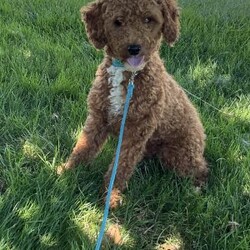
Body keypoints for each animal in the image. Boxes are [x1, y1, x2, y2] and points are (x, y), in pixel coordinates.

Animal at [57, 0, 208, 208]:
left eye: (148, 19)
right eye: (118, 21)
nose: (134, 48)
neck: (129, 75)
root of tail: (202, 135)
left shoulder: (135, 132)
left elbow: (121, 165)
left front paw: (111, 196)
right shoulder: (97, 118)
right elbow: (83, 147)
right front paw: (68, 171)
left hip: (179, 155)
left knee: (201, 168)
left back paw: (196, 188)